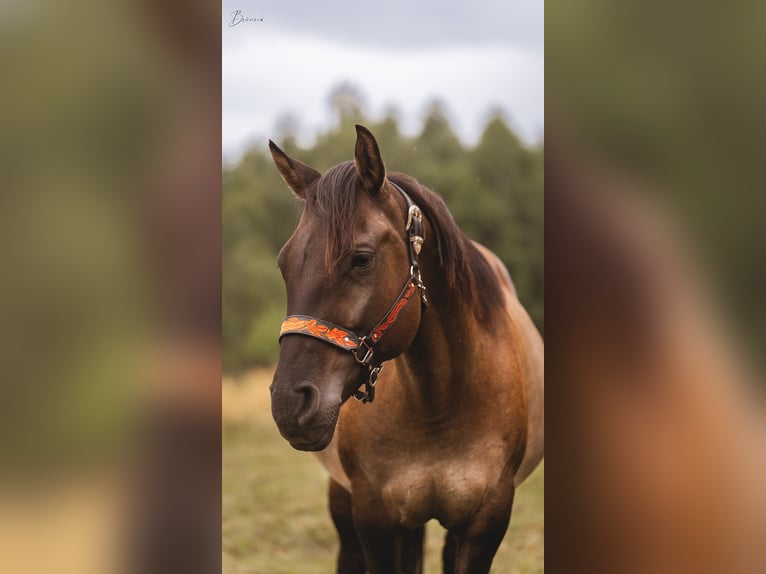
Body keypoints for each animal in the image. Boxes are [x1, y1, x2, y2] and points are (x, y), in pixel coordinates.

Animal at [268, 125, 544, 573]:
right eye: (284, 263)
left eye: (361, 259)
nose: (290, 403)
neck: (440, 401)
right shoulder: (374, 520)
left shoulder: (485, 523)